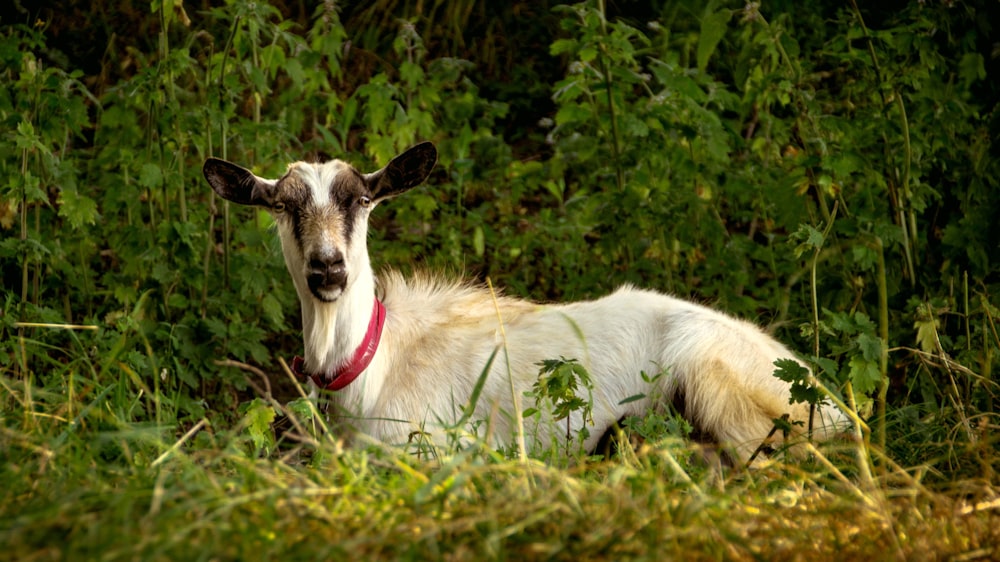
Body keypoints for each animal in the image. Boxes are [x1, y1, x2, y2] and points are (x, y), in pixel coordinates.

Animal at [207, 142, 848, 462]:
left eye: (362, 199)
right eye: (281, 206)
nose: (328, 268)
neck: (374, 365)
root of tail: (831, 400)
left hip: (716, 382)